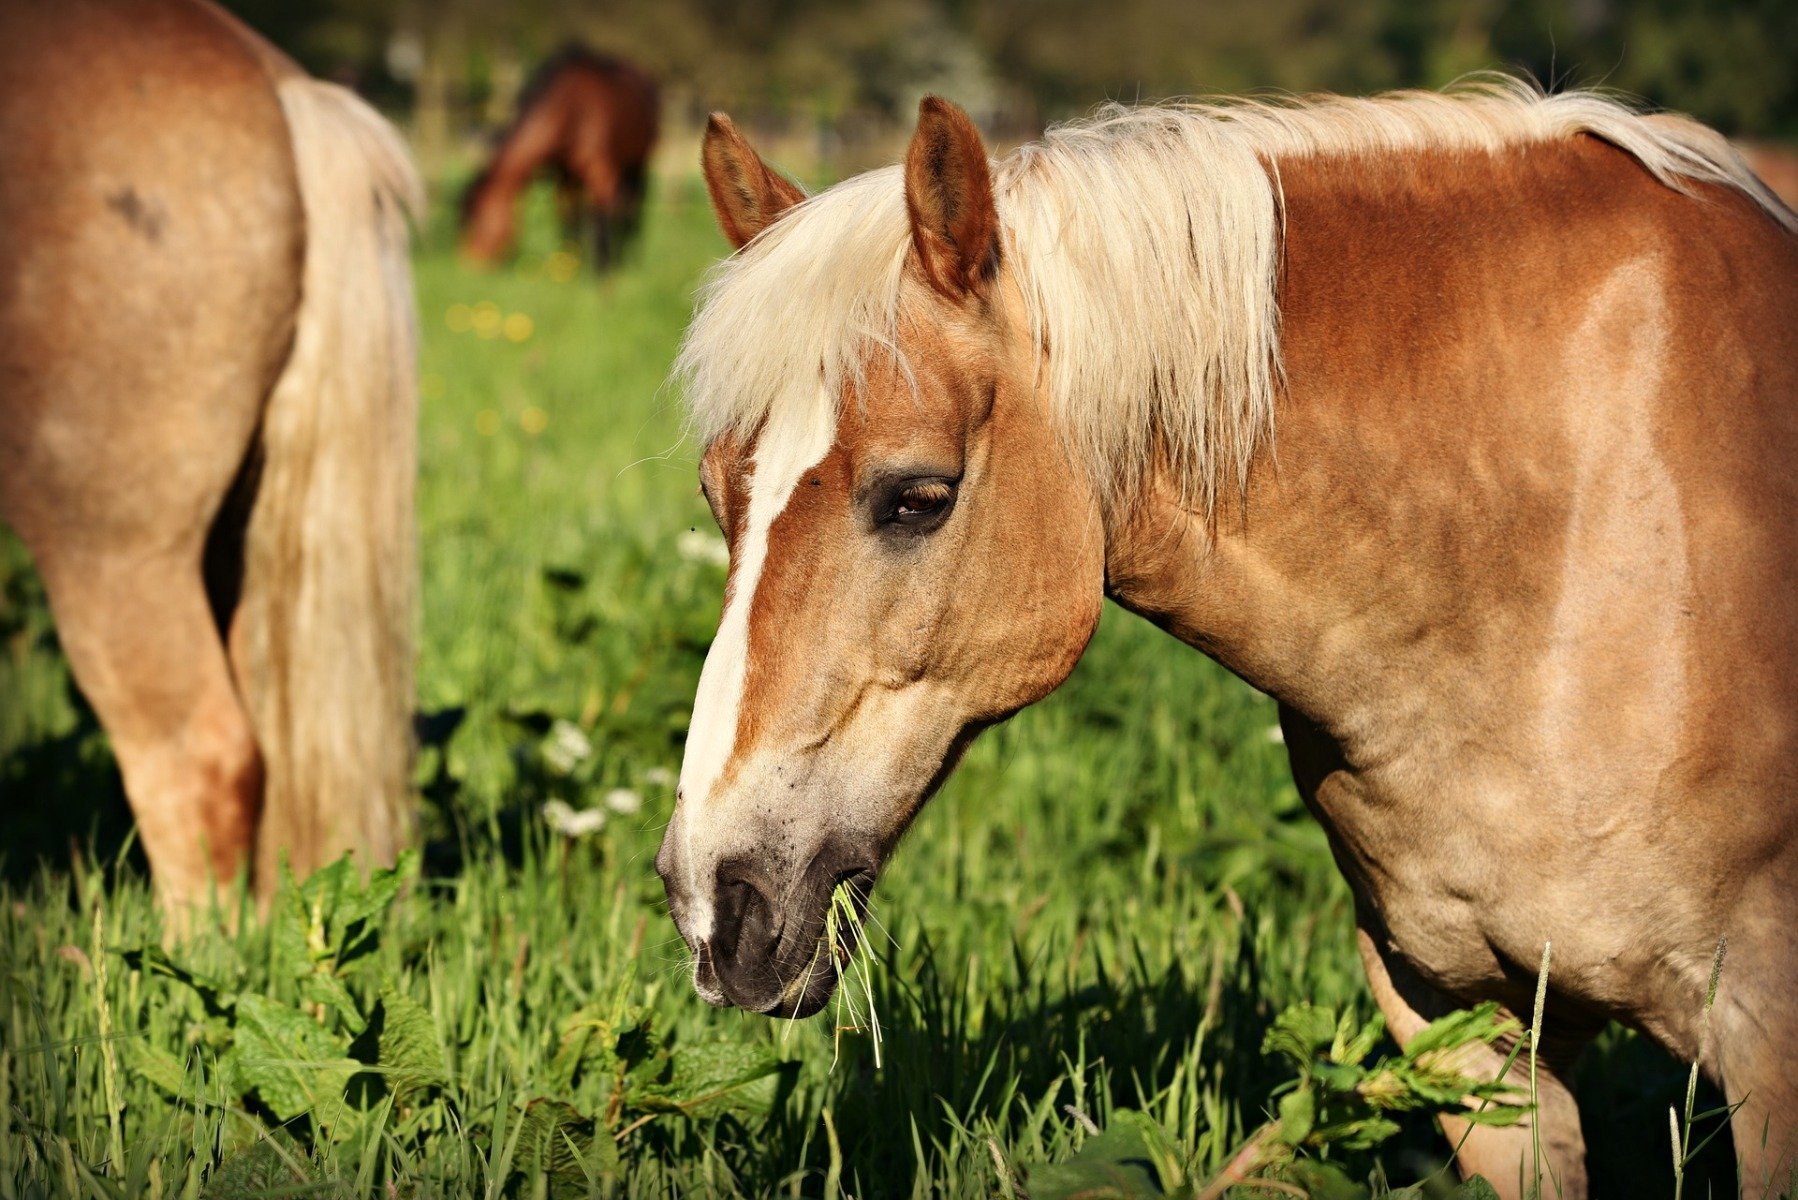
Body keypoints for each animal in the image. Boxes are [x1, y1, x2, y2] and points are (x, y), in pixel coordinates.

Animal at [460, 45, 658, 268]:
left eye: (477, 219)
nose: (468, 264)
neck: (573, 110)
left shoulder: (601, 173)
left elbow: (599, 219)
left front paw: (602, 267)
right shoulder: (564, 176)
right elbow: (568, 217)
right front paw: (569, 260)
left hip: (639, 165)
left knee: (632, 209)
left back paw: (631, 257)